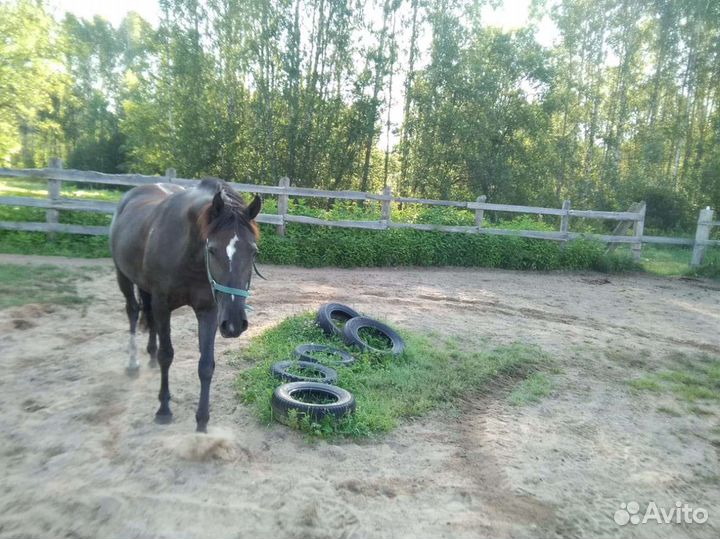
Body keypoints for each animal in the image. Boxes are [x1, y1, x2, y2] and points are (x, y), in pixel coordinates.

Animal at [110, 178, 261, 432]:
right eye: (212, 249)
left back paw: (149, 356)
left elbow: (206, 365)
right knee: (133, 312)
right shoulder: (163, 305)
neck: (187, 252)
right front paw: (163, 409)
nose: (234, 324)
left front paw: (202, 421)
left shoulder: (209, 311)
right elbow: (167, 355)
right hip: (123, 276)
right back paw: (133, 364)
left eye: (253, 252)